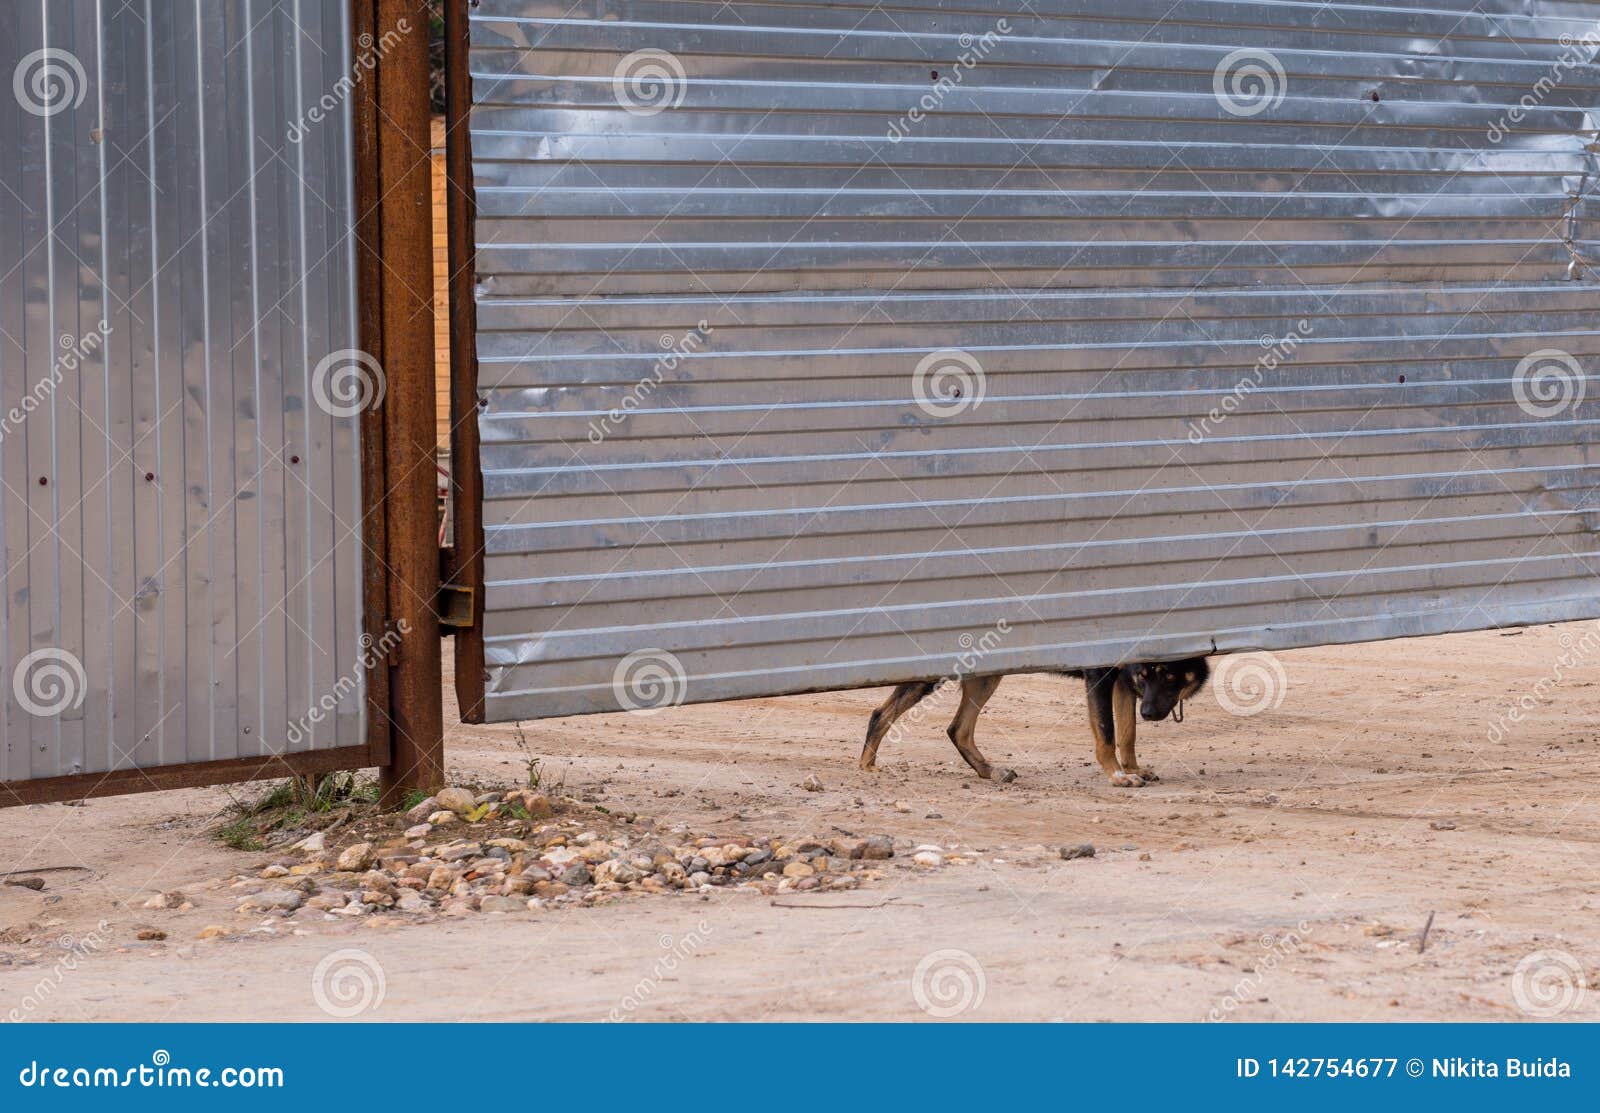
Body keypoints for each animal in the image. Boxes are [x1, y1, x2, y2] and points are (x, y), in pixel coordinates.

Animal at [857, 662, 1203, 789]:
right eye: (1147, 676)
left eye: (1170, 676)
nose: (1149, 712)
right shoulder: (1103, 677)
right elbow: (1107, 733)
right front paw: (1118, 775)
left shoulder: (1122, 684)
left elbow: (1128, 732)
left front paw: (1132, 768)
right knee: (880, 713)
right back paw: (867, 764)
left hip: (986, 678)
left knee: (958, 730)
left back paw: (989, 771)